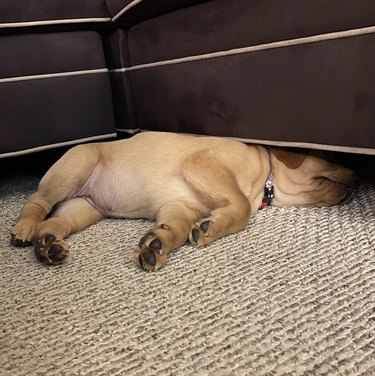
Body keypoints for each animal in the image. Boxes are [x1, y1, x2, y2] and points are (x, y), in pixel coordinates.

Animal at [10, 131, 356, 270]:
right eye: (329, 155)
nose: (358, 176)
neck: (265, 174)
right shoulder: (202, 164)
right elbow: (242, 206)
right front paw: (211, 226)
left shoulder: (179, 207)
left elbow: (174, 229)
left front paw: (156, 245)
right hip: (75, 167)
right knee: (37, 201)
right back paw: (24, 229)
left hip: (86, 208)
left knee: (57, 221)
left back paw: (49, 246)